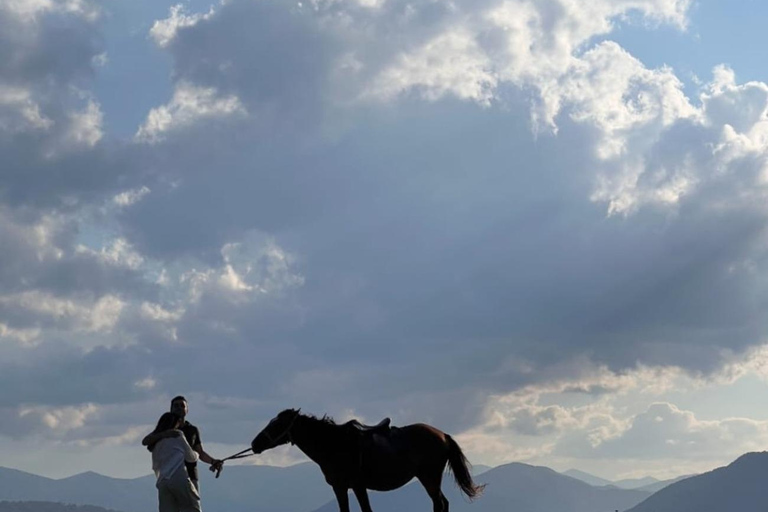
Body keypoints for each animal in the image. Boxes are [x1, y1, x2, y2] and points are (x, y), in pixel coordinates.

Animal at [252, 408, 486, 512]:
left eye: (277, 424)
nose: (255, 444)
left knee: (439, 503)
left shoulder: (357, 486)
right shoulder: (340, 488)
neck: (334, 445)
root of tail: (442, 435)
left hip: (429, 476)